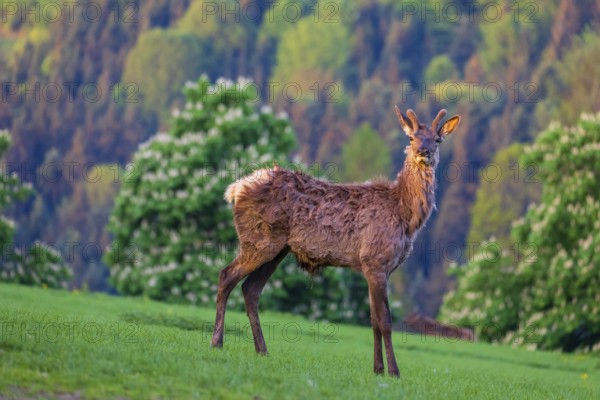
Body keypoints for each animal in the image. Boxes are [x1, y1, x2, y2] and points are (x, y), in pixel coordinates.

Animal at [210, 107, 461, 378]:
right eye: (411, 138)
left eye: (437, 140)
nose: (422, 152)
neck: (405, 215)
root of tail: (236, 189)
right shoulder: (375, 260)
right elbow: (385, 320)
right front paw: (394, 371)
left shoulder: (377, 268)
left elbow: (373, 320)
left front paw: (377, 368)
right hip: (258, 240)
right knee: (226, 275)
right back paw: (217, 342)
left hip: (277, 249)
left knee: (250, 289)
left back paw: (262, 350)